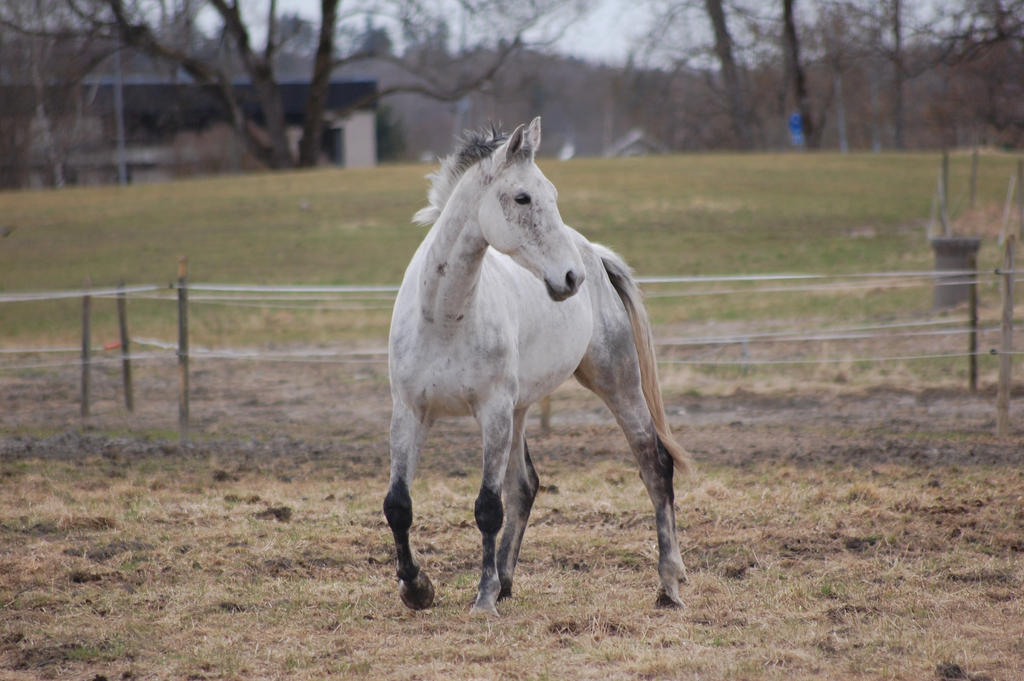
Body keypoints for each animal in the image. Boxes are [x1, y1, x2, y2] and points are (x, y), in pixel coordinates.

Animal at [387, 116, 692, 614]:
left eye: (551, 193)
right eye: (523, 197)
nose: (570, 278)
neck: (446, 318)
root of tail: (595, 254)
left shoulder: (491, 412)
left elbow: (487, 507)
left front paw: (482, 599)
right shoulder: (410, 411)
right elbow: (399, 505)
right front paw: (417, 588)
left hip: (616, 382)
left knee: (654, 462)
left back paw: (669, 584)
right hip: (520, 408)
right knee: (525, 484)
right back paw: (507, 580)